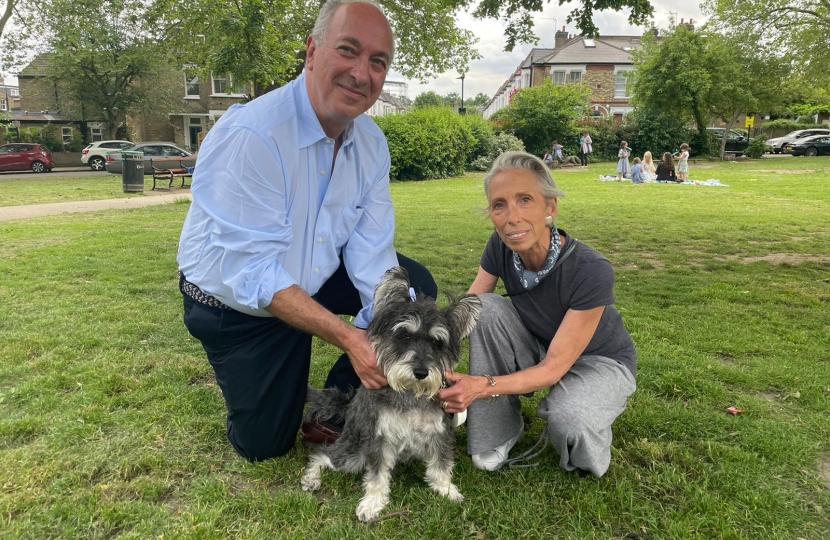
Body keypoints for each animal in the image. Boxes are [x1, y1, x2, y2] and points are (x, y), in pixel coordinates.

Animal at [300, 268, 480, 520]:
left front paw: (446, 489)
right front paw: (371, 504)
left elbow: (441, 465)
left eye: (437, 343)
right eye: (405, 336)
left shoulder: (439, 433)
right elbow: (376, 475)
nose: (421, 372)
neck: (410, 393)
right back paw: (311, 478)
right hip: (353, 454)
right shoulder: (380, 438)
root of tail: (350, 404)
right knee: (323, 455)